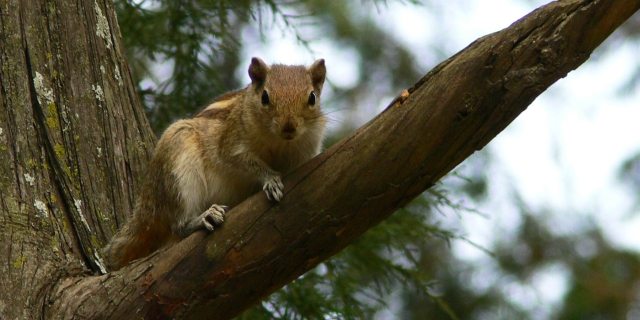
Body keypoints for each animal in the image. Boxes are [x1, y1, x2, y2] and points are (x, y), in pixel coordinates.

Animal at [104, 57, 328, 270]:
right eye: (265, 97)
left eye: (312, 97)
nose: (288, 127)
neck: (281, 143)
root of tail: (148, 199)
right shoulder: (231, 144)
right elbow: (246, 163)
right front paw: (271, 179)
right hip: (179, 167)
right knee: (179, 225)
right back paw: (203, 218)